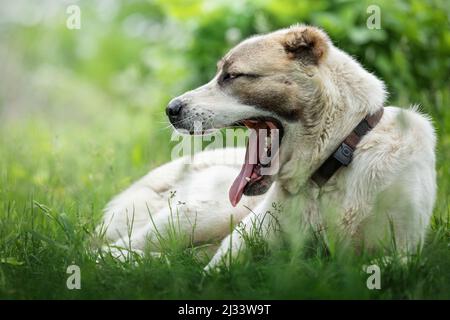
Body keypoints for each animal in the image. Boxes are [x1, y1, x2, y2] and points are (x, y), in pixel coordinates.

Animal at [99, 25, 436, 270]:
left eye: (232, 76)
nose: (170, 109)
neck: (334, 164)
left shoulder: (406, 251)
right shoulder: (241, 240)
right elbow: (215, 272)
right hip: (201, 215)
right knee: (108, 249)